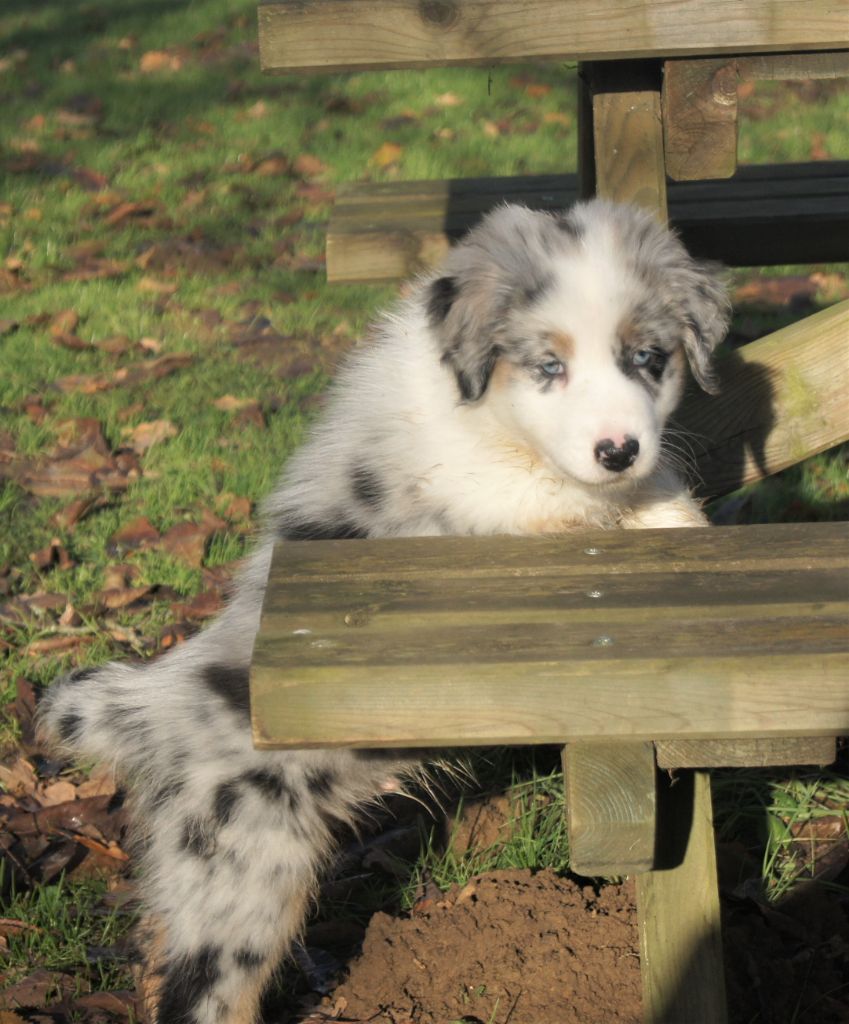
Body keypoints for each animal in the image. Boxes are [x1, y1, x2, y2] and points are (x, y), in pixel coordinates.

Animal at [40, 200, 729, 1024]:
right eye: (547, 367)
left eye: (647, 358)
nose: (617, 449)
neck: (490, 421)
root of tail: (149, 705)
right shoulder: (464, 499)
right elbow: (546, 503)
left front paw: (675, 518)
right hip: (240, 877)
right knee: (201, 991)